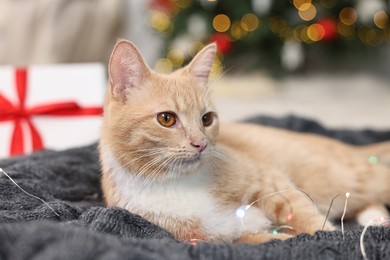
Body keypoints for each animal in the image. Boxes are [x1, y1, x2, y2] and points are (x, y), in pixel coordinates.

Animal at [100, 40, 390, 244]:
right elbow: (267, 240)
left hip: (343, 178)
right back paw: (379, 221)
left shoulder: (272, 183)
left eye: (206, 119)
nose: (201, 144)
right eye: (167, 119)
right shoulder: (214, 238)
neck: (176, 184)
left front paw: (325, 235)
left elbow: (309, 220)